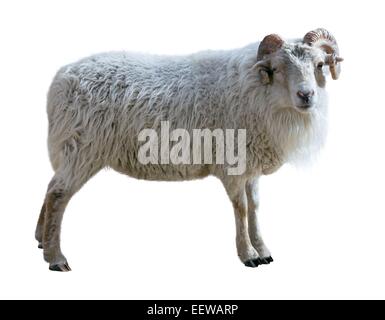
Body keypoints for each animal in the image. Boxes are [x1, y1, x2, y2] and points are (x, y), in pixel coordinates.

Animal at [36, 28, 342, 272]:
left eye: (319, 64)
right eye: (277, 68)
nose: (306, 95)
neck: (256, 91)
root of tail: (61, 79)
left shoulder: (250, 164)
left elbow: (254, 207)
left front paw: (263, 250)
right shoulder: (232, 163)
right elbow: (241, 208)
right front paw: (248, 255)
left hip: (70, 150)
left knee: (50, 188)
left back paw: (41, 240)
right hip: (81, 148)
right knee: (57, 194)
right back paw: (55, 257)